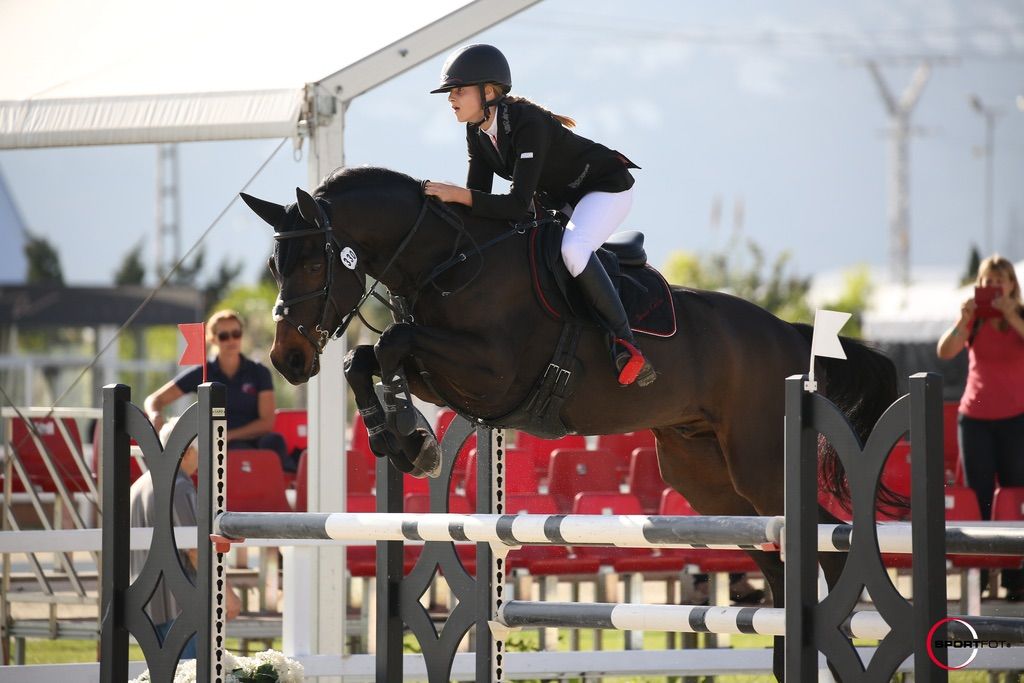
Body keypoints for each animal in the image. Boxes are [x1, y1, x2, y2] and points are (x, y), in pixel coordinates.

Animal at [239, 163, 897, 679]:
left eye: (312, 265)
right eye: (274, 266)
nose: (287, 360)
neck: (451, 261)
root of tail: (790, 334)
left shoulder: (492, 369)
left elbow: (393, 342)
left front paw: (414, 437)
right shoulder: (451, 371)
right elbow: (365, 356)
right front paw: (397, 436)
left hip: (762, 468)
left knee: (827, 548)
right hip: (709, 482)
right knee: (776, 565)